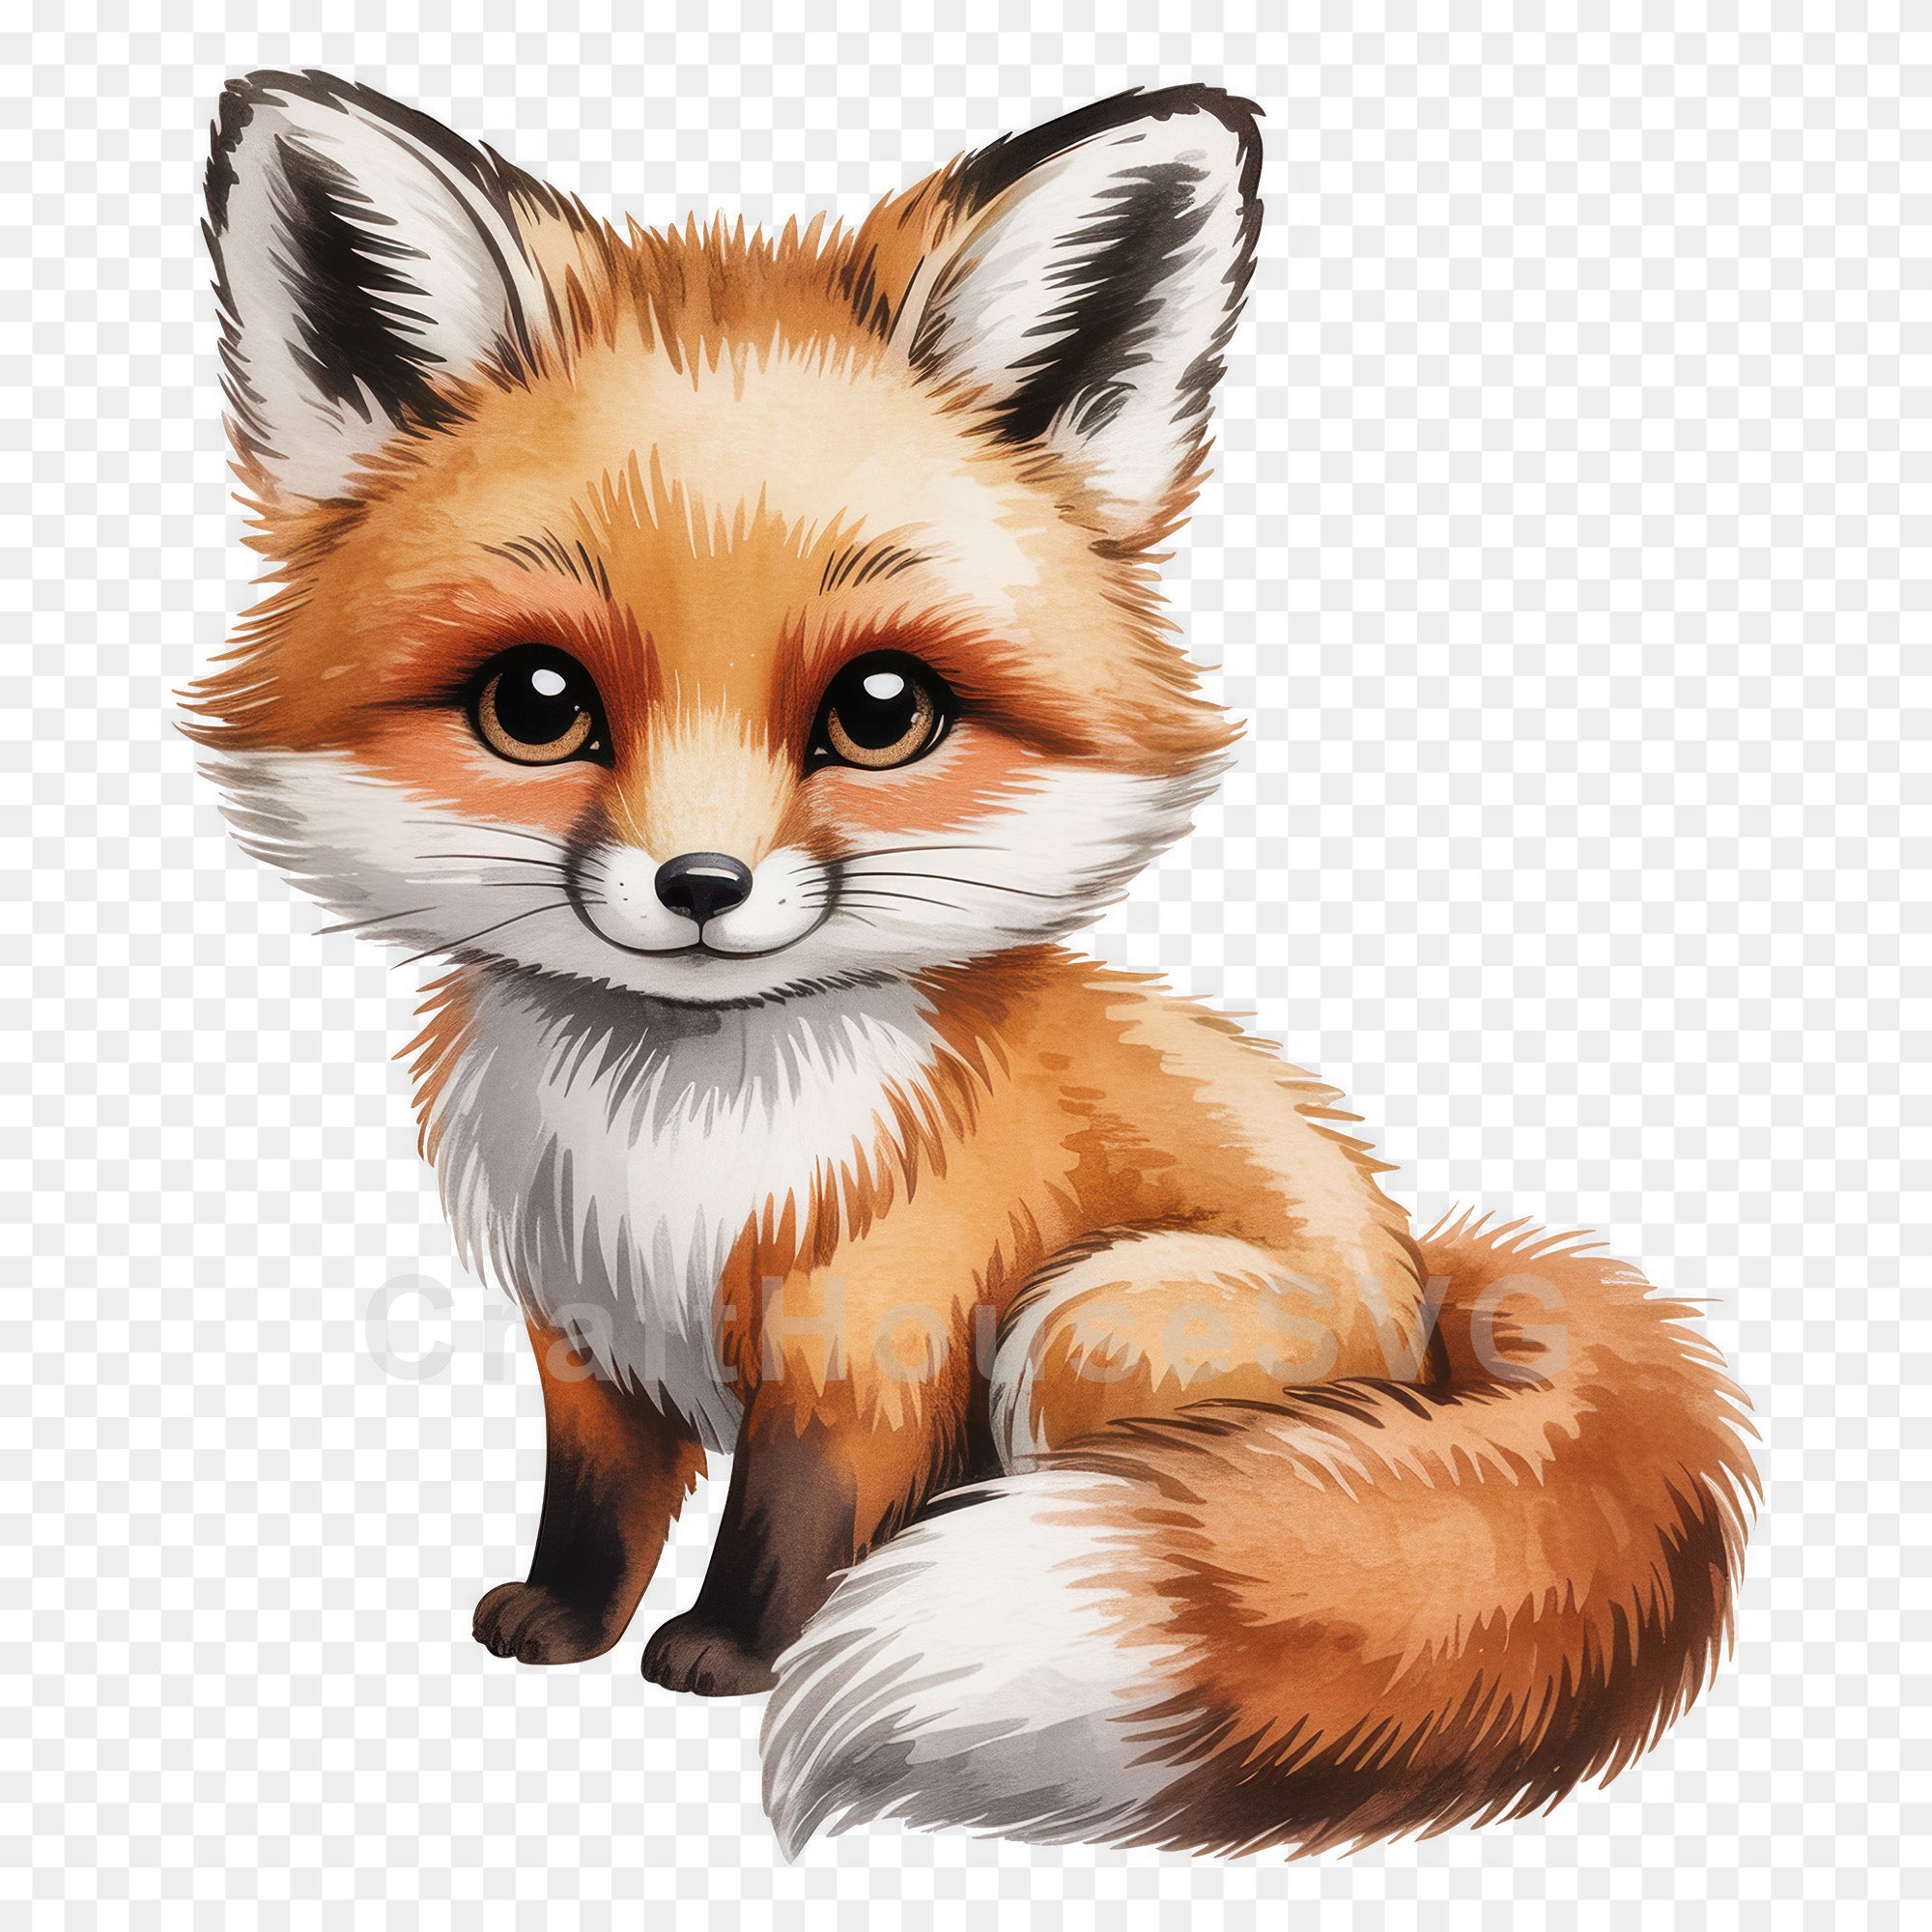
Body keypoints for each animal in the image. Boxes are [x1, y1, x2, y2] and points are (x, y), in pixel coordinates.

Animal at [186, 71, 1756, 1857]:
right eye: (535, 703)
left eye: (882, 712)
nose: (701, 885)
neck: (673, 1150)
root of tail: (1428, 1298)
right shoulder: (581, 1334)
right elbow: (595, 1508)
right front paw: (560, 1626)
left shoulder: (874, 1336)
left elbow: (790, 1524)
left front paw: (728, 1660)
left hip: (1091, 1325)